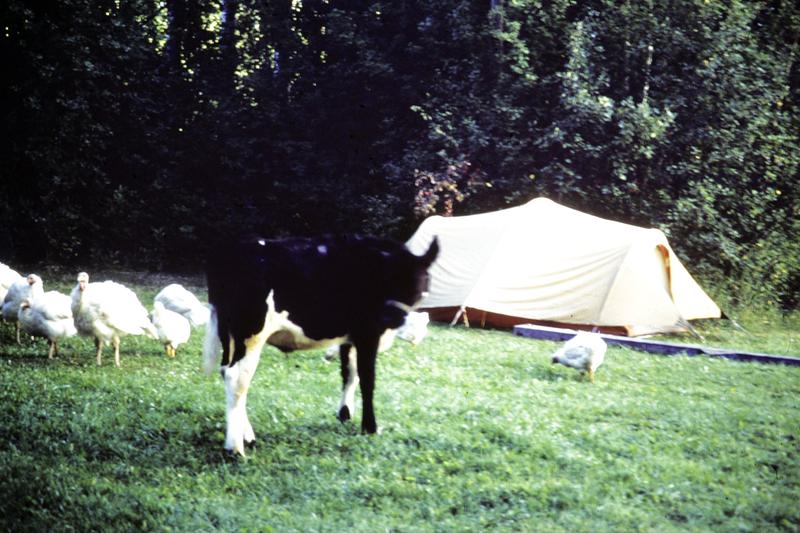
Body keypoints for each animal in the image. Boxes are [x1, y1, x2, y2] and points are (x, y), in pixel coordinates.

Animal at [202, 233, 438, 454]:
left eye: (414, 286)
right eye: (389, 280)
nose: (389, 316)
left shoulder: (350, 337)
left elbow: (349, 373)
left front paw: (344, 414)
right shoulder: (368, 334)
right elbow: (367, 380)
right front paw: (370, 427)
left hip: (230, 336)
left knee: (227, 372)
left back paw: (247, 436)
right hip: (252, 335)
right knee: (237, 378)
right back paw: (235, 447)